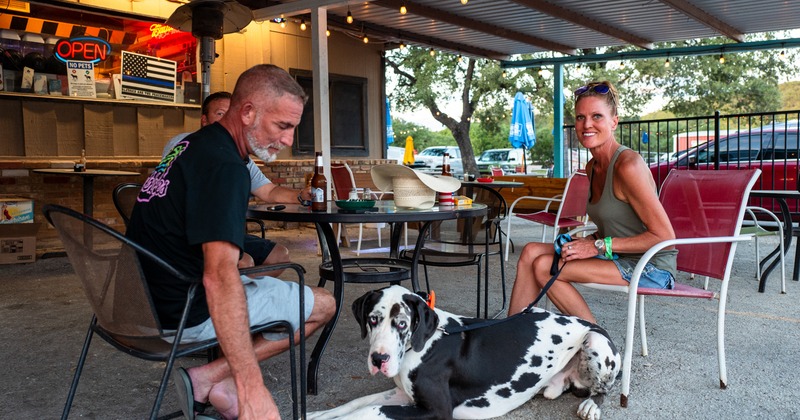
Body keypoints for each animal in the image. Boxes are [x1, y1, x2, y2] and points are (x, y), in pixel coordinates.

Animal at [310, 284, 620, 418]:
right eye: (373, 319)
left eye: (402, 323)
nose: (379, 359)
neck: (424, 343)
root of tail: (592, 323)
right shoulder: (403, 394)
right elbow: (359, 402)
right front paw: (318, 415)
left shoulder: (436, 410)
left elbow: (370, 410)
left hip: (594, 341)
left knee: (603, 390)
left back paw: (592, 405)